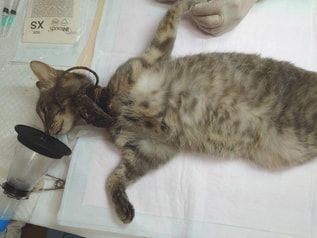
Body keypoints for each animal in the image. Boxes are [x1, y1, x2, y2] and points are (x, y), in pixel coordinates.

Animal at [30, 0, 317, 223]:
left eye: (43, 110)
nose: (46, 133)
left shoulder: (150, 57)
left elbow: (174, 11)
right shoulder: (150, 150)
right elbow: (114, 178)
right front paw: (123, 209)